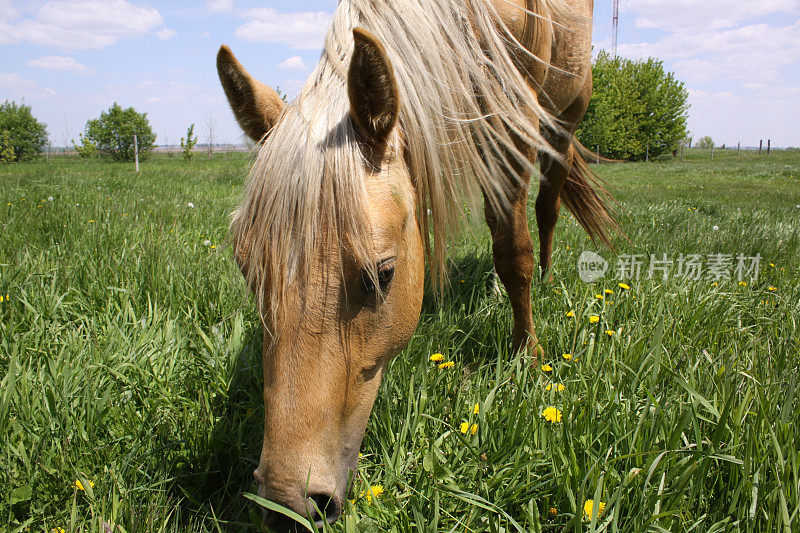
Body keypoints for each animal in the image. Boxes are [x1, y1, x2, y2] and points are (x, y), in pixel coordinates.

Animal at [216, 0, 616, 524]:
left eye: (382, 275)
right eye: (249, 272)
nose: (287, 504)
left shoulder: (515, 118)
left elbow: (514, 251)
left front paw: (528, 359)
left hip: (565, 113)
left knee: (547, 202)